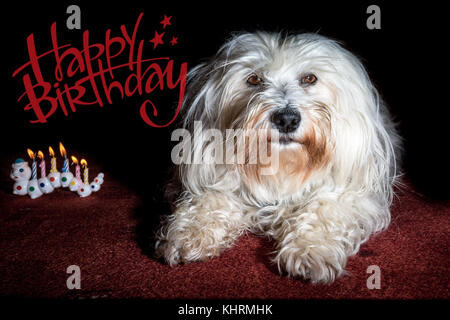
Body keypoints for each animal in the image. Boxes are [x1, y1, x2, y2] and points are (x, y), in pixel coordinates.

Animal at [156, 32, 400, 282]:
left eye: (309, 78)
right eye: (254, 79)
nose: (287, 119)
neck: (282, 165)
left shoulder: (350, 191)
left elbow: (324, 208)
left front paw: (309, 249)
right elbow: (209, 200)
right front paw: (190, 232)